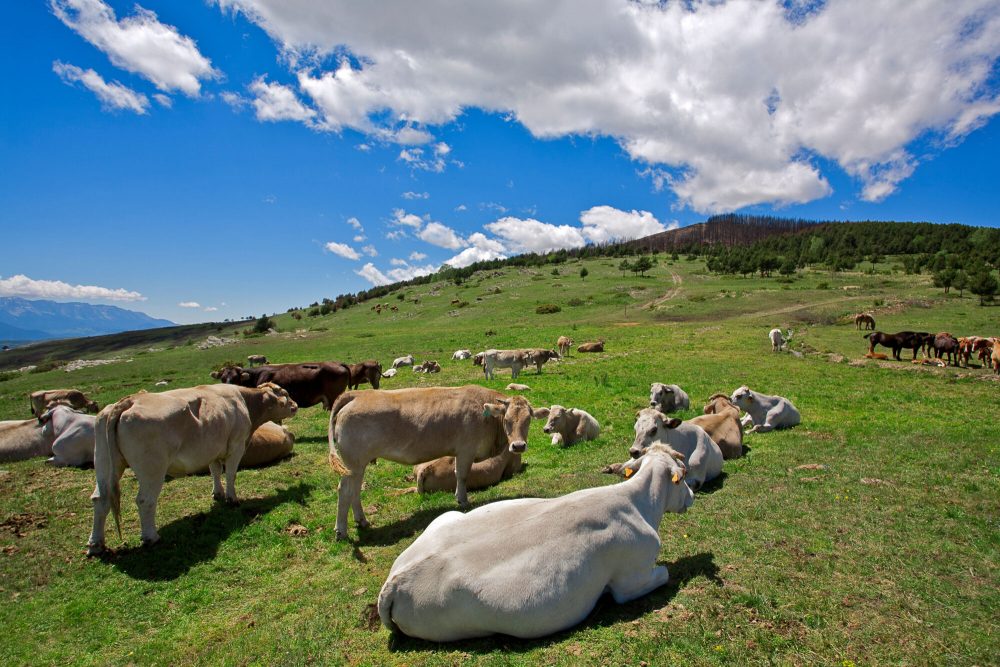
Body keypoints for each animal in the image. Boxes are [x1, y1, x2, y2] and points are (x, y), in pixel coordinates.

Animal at [86, 383, 297, 555]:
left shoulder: (213, 448)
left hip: (104, 463)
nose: (295, 405)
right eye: (286, 393)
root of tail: (129, 401)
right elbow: (230, 474)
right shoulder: (236, 446)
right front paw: (232, 498)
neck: (245, 401)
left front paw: (218, 493)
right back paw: (151, 537)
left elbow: (215, 471)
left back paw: (96, 544)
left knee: (100, 499)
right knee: (145, 500)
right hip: (152, 469)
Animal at [328, 386, 547, 539]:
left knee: (355, 490)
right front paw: (463, 500)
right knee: (344, 491)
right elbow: (462, 475)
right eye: (507, 420)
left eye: (528, 420)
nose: (518, 446)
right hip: (353, 462)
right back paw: (341, 531)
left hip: (358, 464)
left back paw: (362, 520)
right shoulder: (465, 450)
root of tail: (357, 395)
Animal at [377, 442, 693, 641]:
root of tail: (395, 582)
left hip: (445, 517)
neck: (637, 503)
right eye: (683, 475)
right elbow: (665, 573)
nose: (693, 495)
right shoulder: (631, 580)